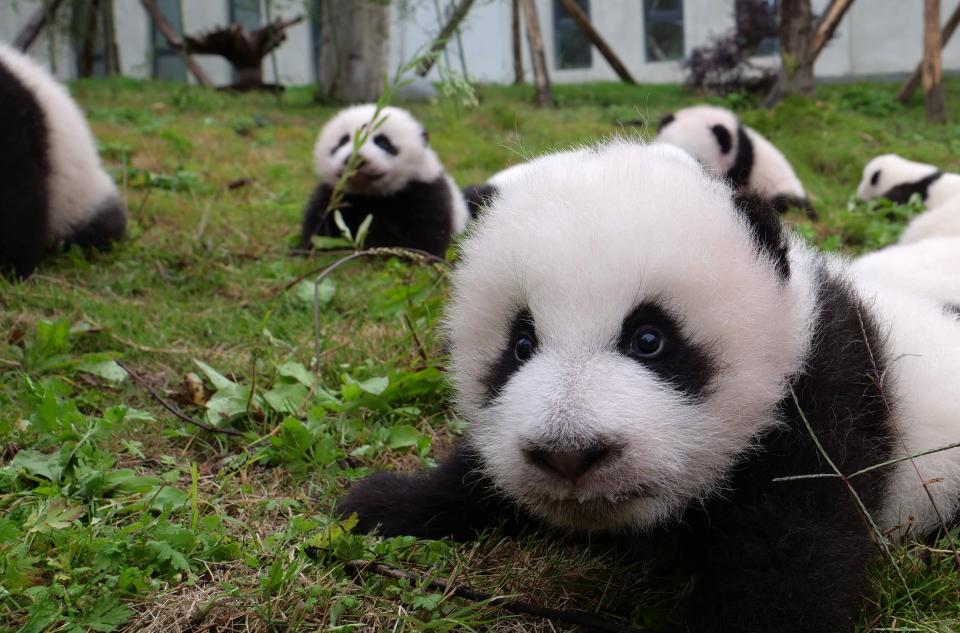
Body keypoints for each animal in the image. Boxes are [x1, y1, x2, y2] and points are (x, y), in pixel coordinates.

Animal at [338, 141, 960, 632]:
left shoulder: (824, 401)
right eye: (521, 345)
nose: (568, 455)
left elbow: (792, 555)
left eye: (649, 340)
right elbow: (480, 471)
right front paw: (386, 504)